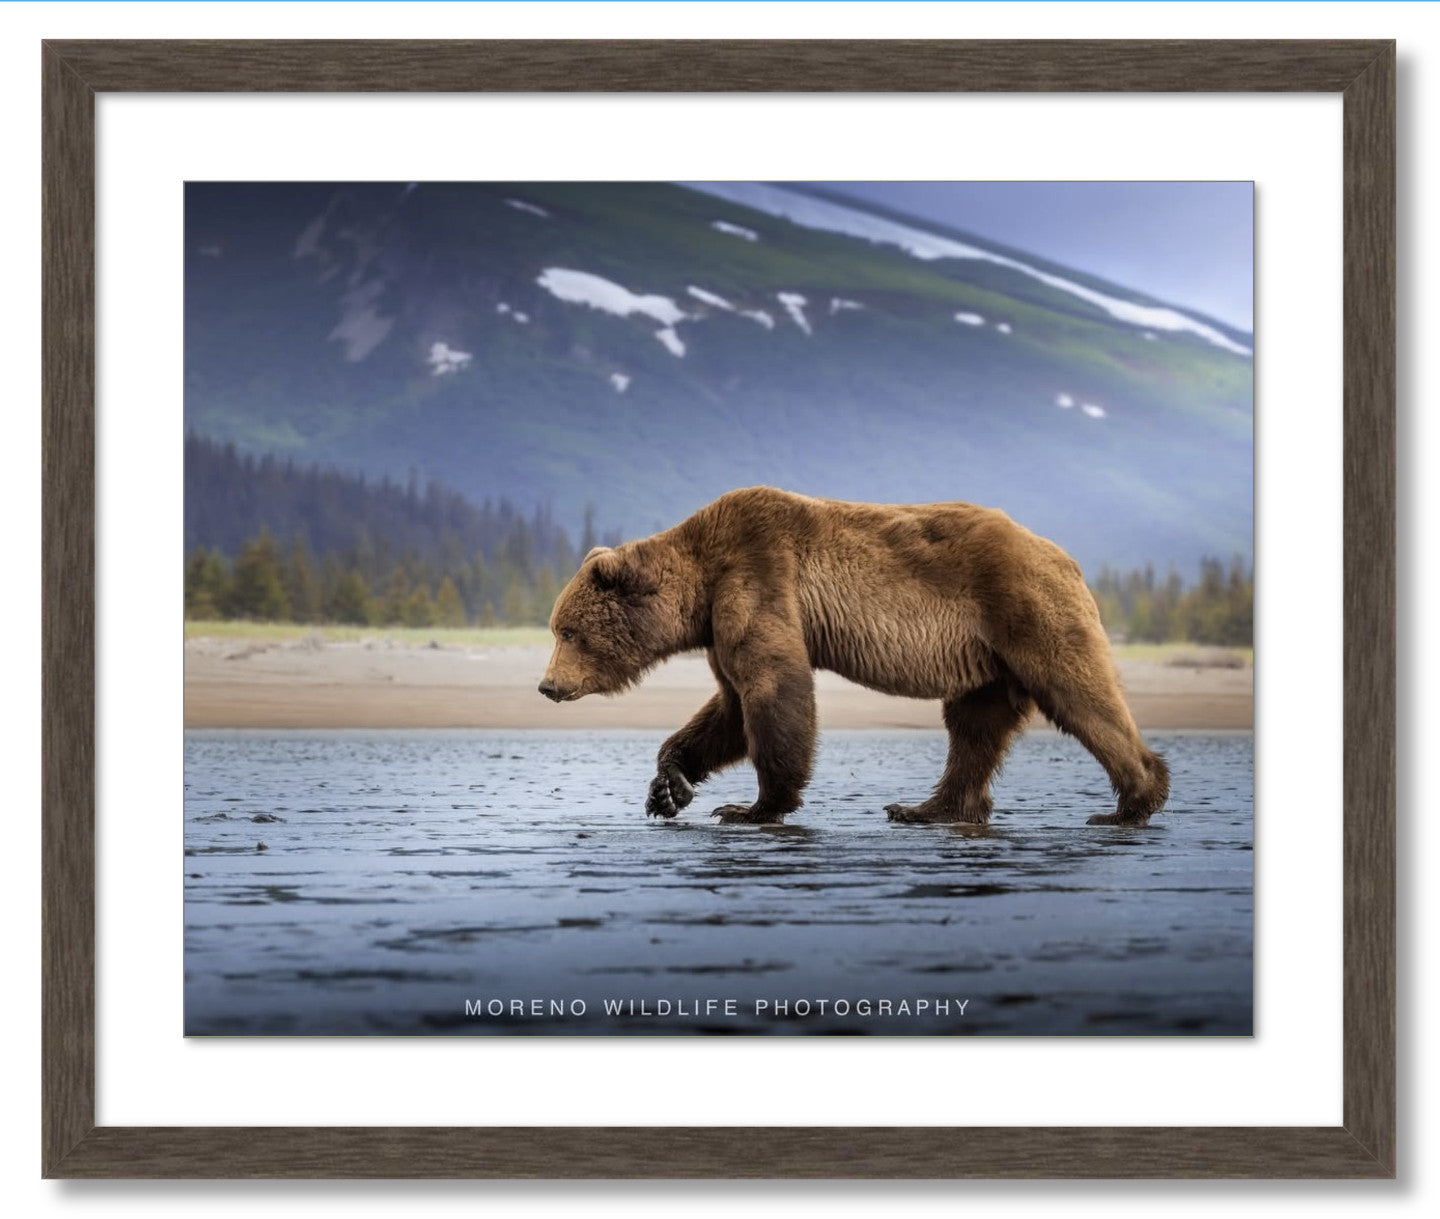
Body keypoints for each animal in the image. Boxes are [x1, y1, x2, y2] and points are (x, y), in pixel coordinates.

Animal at [539, 486, 1170, 827]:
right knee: (974, 728)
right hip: (988, 658)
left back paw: (1132, 802)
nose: (546, 686)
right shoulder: (720, 622)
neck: (700, 582)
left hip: (1025, 610)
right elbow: (729, 707)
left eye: (567, 631)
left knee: (1078, 693)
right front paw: (669, 788)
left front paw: (753, 806)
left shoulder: (757, 575)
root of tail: (1065, 556)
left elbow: (772, 689)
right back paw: (926, 808)